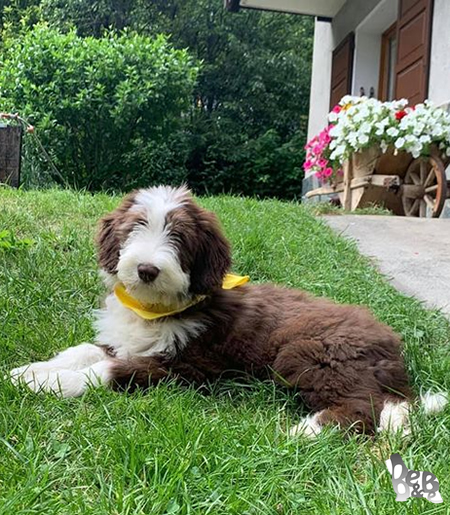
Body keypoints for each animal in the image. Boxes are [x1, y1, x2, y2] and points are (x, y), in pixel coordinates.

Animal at [9, 185, 446, 436]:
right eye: (134, 227)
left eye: (178, 237)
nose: (147, 269)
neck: (155, 308)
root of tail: (390, 342)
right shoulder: (126, 341)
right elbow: (83, 351)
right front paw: (29, 371)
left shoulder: (186, 367)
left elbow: (106, 370)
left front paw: (49, 384)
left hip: (312, 354)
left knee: (364, 408)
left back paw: (306, 432)